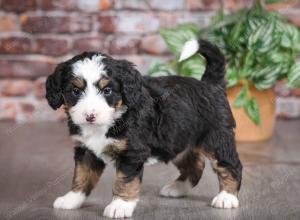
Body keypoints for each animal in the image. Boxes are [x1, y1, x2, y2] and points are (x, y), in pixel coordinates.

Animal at [47, 38, 243, 217]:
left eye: (107, 90)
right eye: (75, 91)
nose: (90, 116)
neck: (114, 118)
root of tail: (210, 84)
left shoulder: (132, 152)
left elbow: (124, 180)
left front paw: (120, 205)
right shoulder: (86, 151)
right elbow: (82, 175)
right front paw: (71, 199)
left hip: (217, 138)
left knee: (230, 165)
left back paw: (227, 197)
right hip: (178, 141)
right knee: (195, 165)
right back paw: (178, 188)